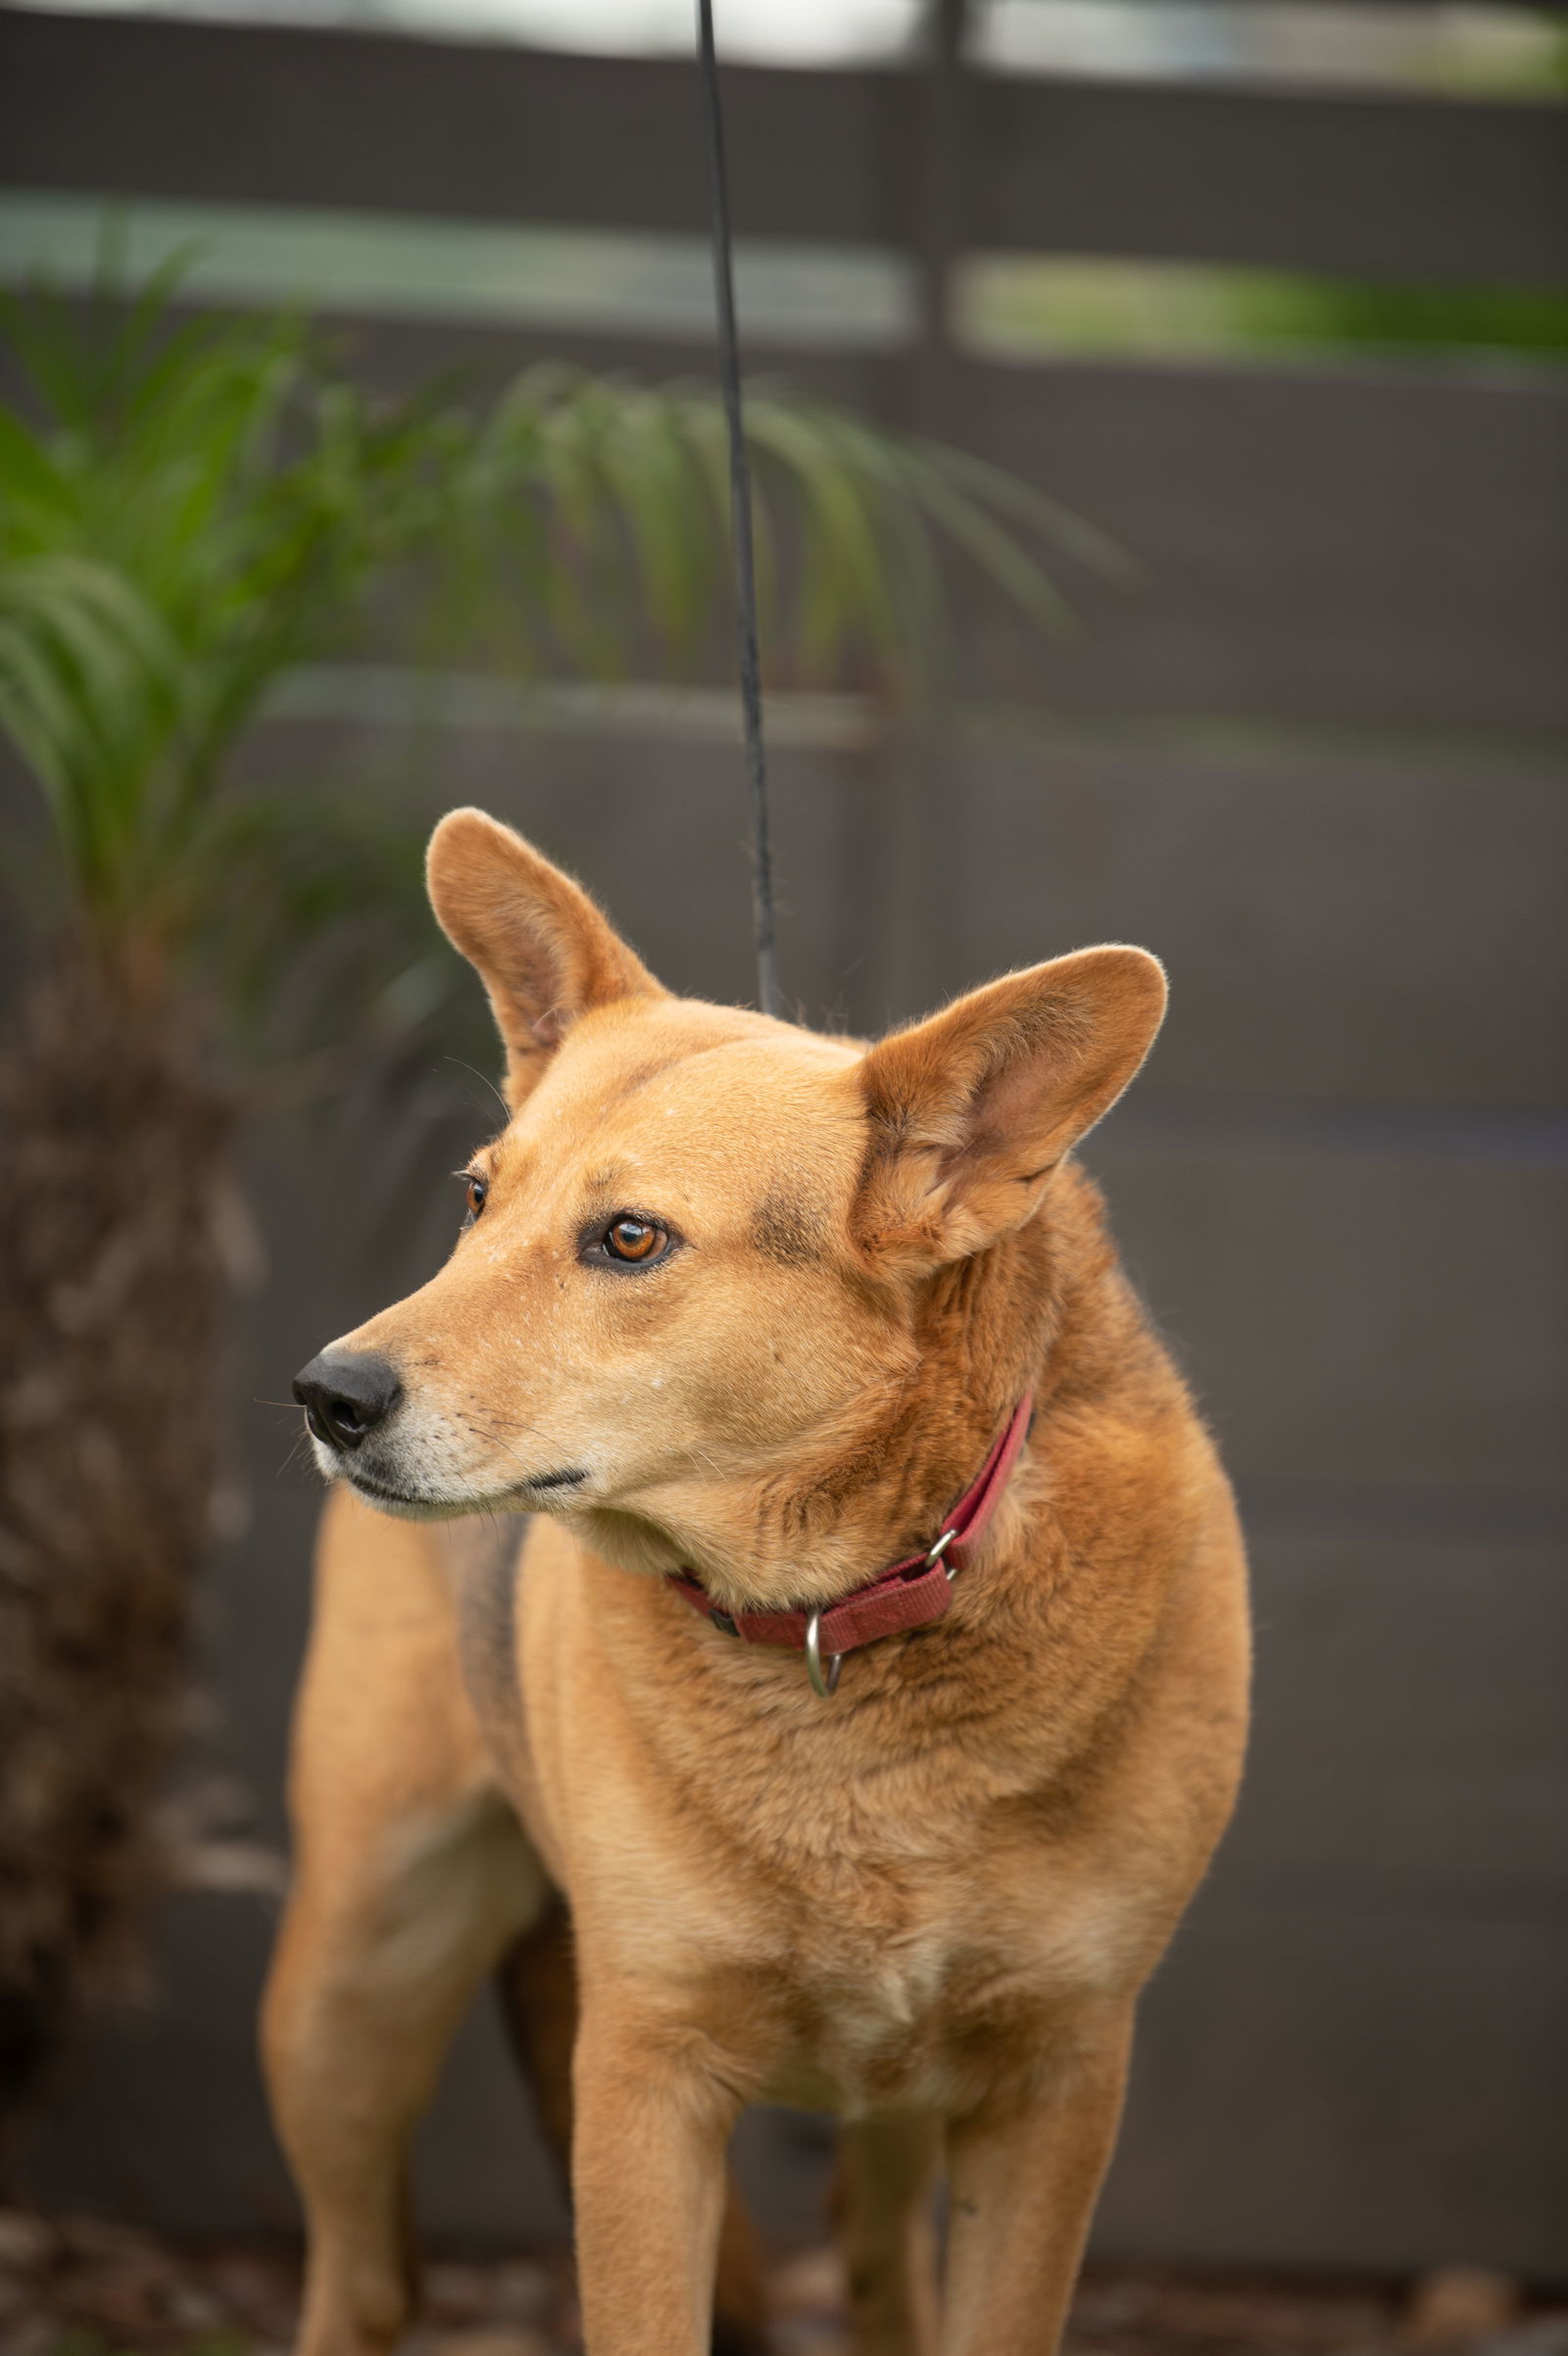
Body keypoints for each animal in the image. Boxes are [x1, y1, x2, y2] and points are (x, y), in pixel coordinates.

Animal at [266, 814, 1243, 2356]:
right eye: (478, 1200)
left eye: (629, 1239)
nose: (326, 1393)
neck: (841, 1620)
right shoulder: (644, 2077)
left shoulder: (1056, 2083)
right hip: (355, 1978)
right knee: (361, 2276)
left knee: (879, 2252)